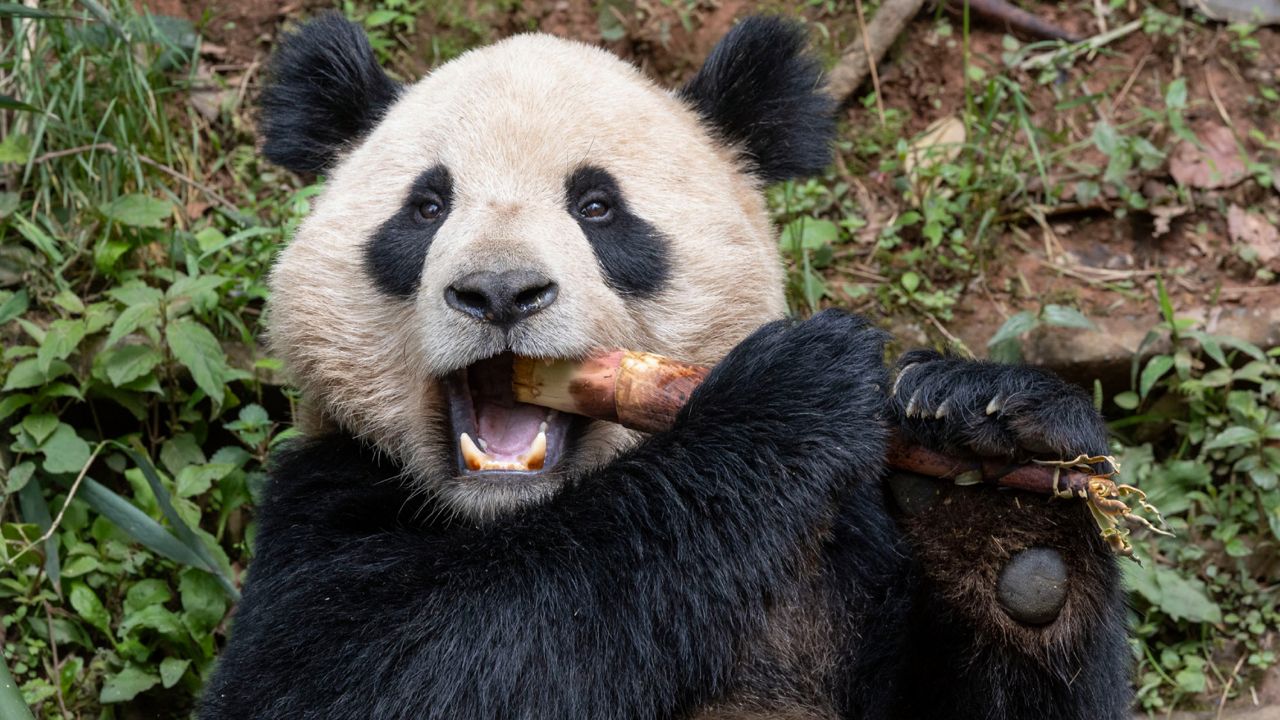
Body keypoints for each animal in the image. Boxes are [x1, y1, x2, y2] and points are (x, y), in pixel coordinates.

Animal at [199, 12, 1131, 717]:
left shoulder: (848, 554)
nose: (499, 293)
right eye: (426, 208)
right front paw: (788, 395)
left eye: (598, 206)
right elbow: (395, 671)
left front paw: (994, 469)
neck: (513, 519)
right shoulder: (324, 501)